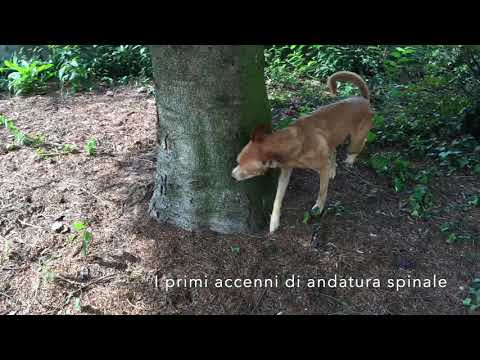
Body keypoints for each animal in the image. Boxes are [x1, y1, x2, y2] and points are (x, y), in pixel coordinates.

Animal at [231, 70, 374, 233]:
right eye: (237, 161)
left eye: (247, 170)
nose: (232, 176)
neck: (293, 142)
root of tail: (364, 99)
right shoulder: (285, 172)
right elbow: (277, 198)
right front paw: (274, 221)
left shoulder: (322, 168)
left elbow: (322, 191)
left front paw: (319, 208)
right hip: (332, 139)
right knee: (334, 152)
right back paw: (333, 169)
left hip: (356, 140)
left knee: (358, 146)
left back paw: (349, 160)